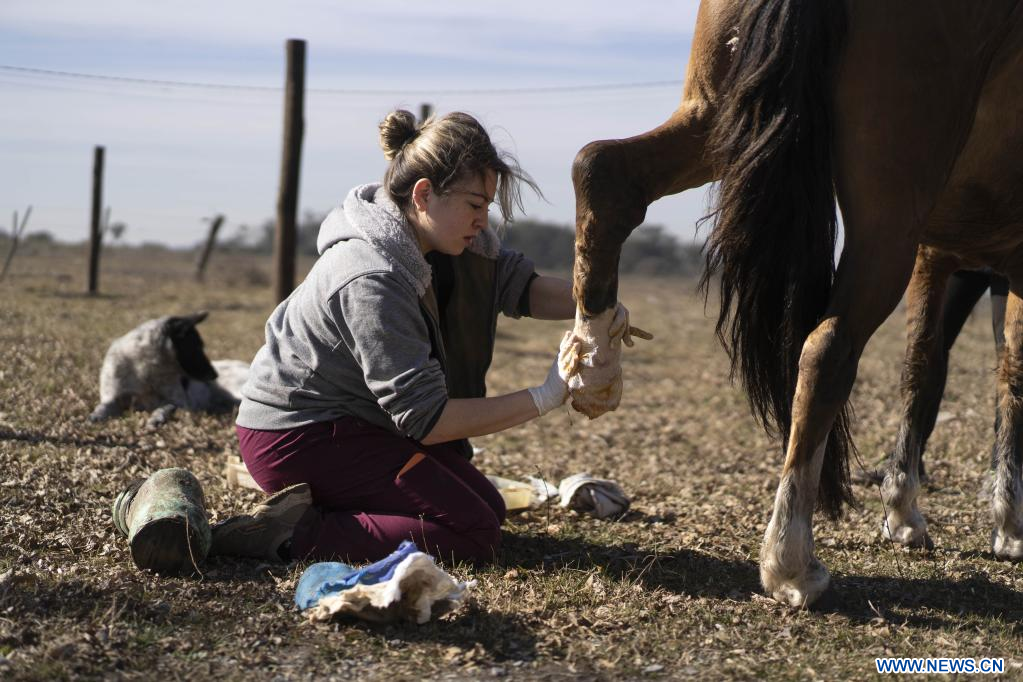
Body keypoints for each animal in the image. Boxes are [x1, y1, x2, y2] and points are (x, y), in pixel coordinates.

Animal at [92, 312, 251, 427]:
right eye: (197, 346)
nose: (215, 375)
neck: (146, 371)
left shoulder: (179, 403)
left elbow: (164, 408)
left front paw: (157, 418)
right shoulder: (113, 396)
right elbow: (103, 406)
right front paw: (97, 415)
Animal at [568, 0, 1023, 609]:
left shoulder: (942, 257)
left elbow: (928, 372)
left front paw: (907, 514)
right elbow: (1010, 379)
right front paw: (1010, 525)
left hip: (712, 120)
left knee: (603, 169)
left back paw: (592, 357)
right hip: (888, 222)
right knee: (827, 350)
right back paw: (791, 562)